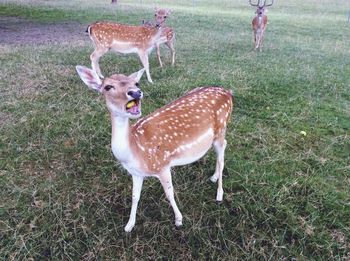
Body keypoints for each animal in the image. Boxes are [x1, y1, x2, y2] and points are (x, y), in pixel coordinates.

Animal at [75, 65, 234, 232]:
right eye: (107, 87)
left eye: (136, 83)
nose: (135, 92)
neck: (135, 152)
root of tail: (228, 92)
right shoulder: (136, 173)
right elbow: (134, 196)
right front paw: (129, 225)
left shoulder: (162, 165)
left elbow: (169, 193)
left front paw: (179, 219)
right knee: (222, 148)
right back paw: (214, 177)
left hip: (222, 127)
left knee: (222, 153)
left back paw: (219, 194)